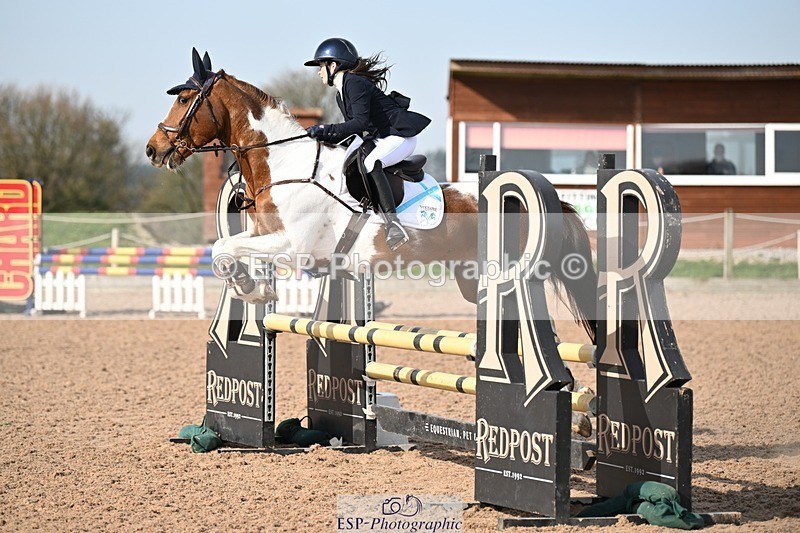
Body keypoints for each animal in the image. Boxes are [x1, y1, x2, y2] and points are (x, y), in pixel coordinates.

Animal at [145, 50, 598, 343]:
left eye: (184, 99)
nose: (153, 149)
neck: (285, 162)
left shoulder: (292, 247)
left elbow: (226, 248)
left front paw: (252, 289)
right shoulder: (264, 236)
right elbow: (223, 247)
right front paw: (250, 288)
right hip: (472, 279)